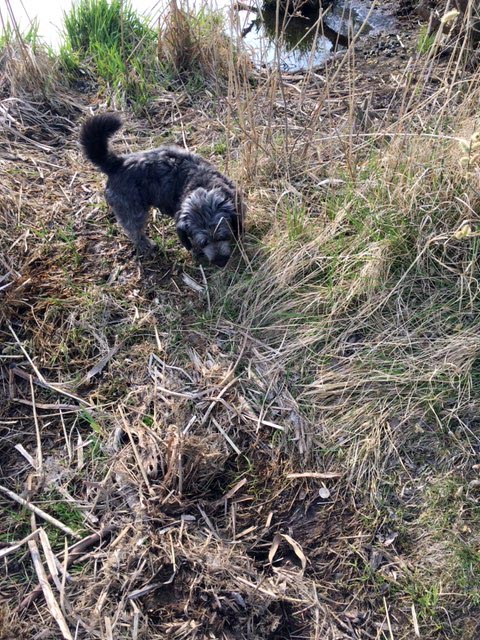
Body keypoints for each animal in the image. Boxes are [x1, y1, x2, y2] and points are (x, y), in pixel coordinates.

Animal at [80, 113, 244, 267]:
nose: (221, 262)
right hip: (133, 211)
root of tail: (118, 163)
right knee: (134, 231)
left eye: (224, 236)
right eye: (203, 242)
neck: (201, 182)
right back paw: (146, 245)